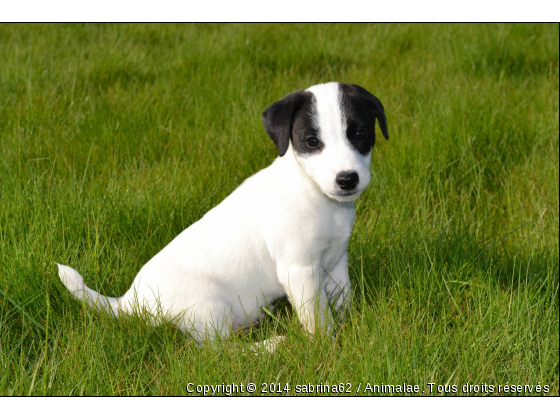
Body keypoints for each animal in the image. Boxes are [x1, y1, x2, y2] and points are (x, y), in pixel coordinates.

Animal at [58, 81, 390, 348]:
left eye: (360, 133)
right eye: (312, 141)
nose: (347, 179)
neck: (313, 192)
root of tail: (130, 302)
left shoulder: (335, 262)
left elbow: (342, 301)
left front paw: (351, 330)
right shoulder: (300, 270)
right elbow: (318, 319)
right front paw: (325, 347)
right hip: (209, 307)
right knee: (221, 353)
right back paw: (270, 346)